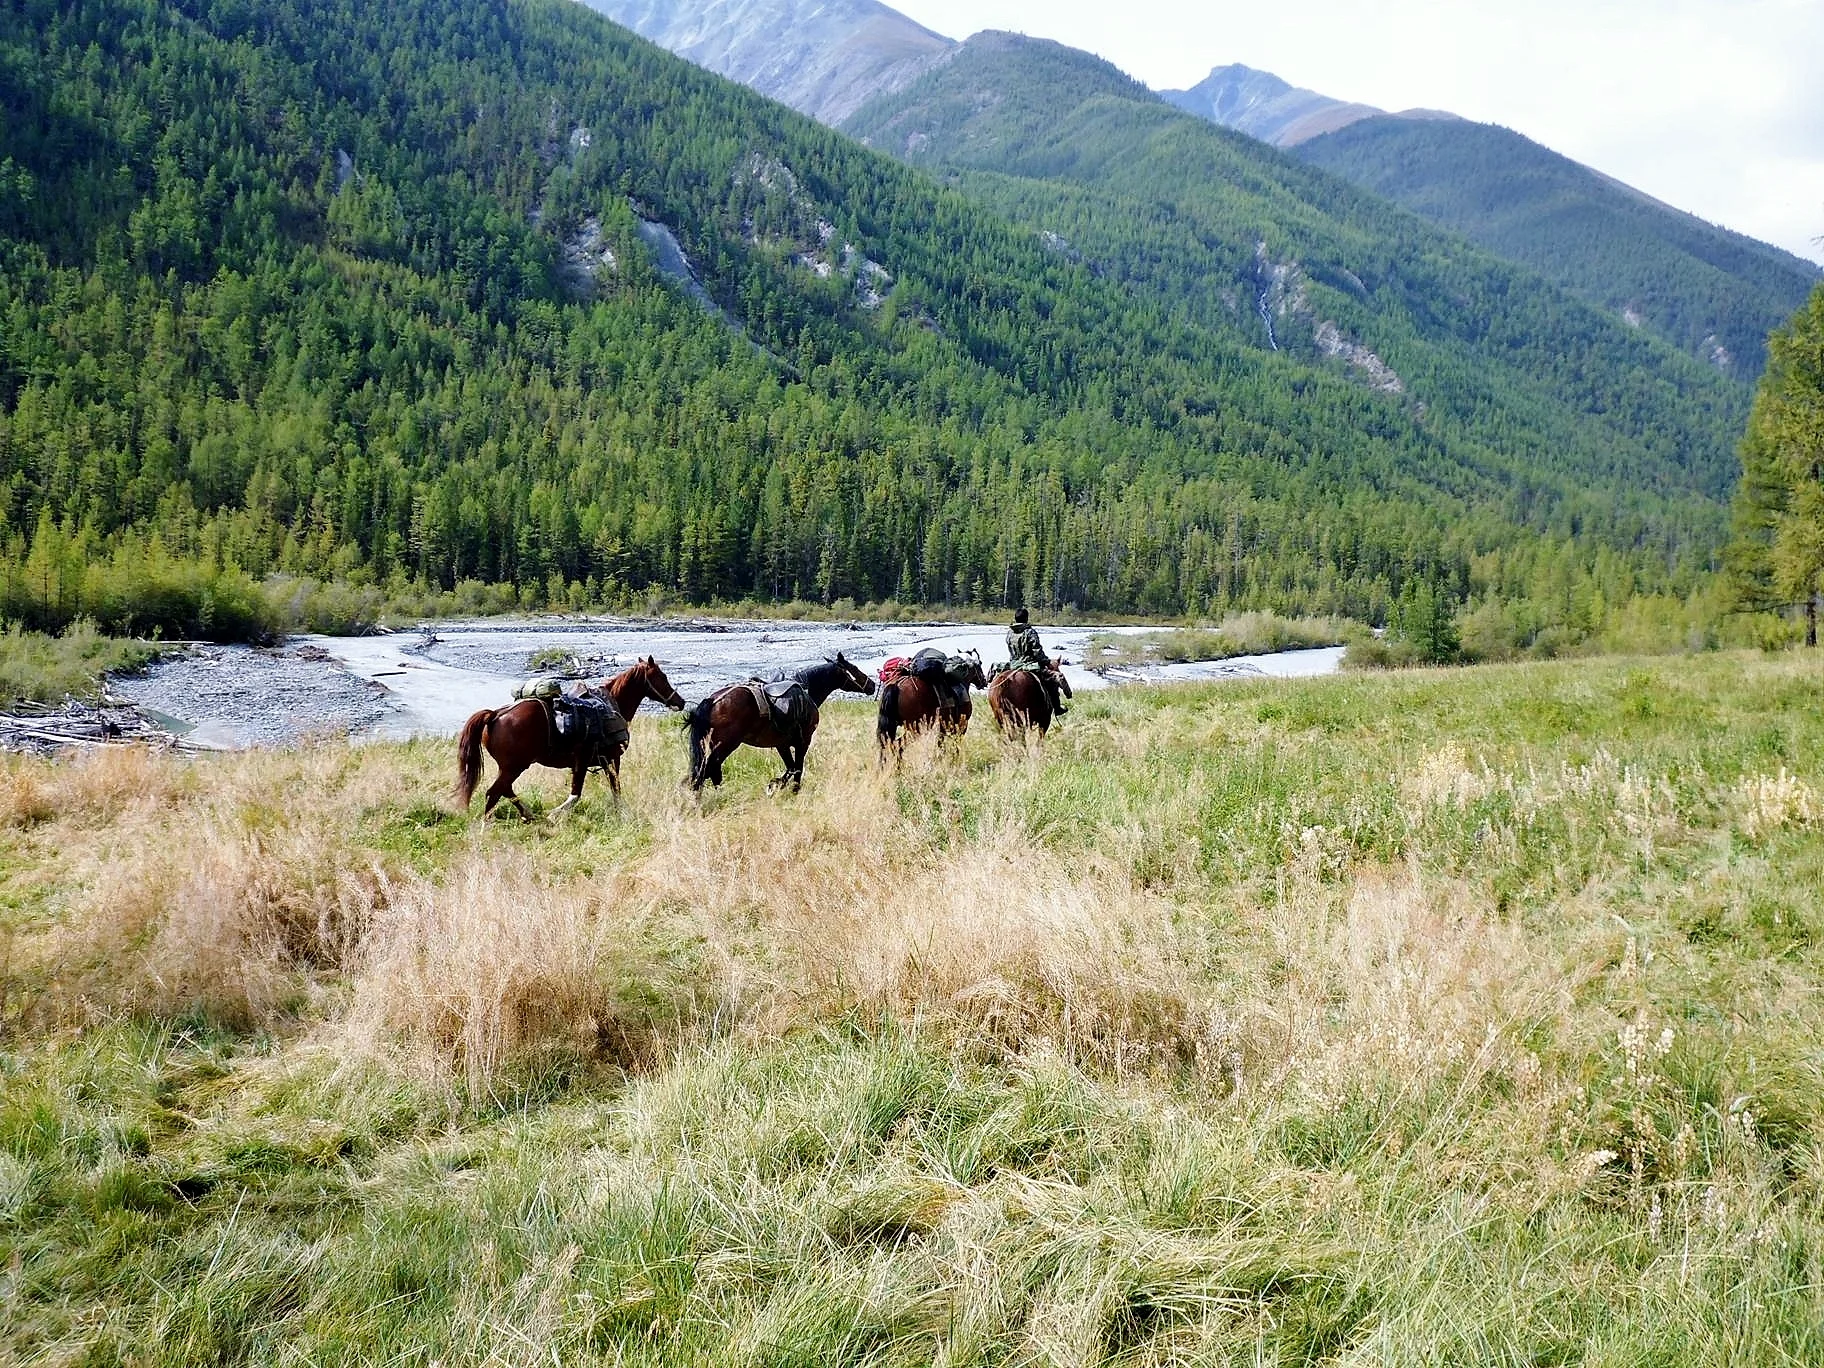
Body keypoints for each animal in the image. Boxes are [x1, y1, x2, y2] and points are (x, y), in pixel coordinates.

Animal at [456, 656, 686, 819]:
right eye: (662, 677)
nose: (680, 702)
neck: (612, 705)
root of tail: (495, 715)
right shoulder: (604, 759)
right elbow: (586, 792)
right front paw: (555, 814)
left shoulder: (600, 761)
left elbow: (608, 790)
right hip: (514, 767)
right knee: (493, 793)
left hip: (509, 768)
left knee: (505, 790)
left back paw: (529, 815)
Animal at [684, 653, 875, 793]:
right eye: (854, 668)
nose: (872, 685)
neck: (807, 691)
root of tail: (712, 701)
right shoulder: (803, 741)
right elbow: (797, 769)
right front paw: (791, 790)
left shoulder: (781, 744)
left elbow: (790, 767)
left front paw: (775, 785)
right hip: (726, 745)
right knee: (706, 772)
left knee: (708, 772)